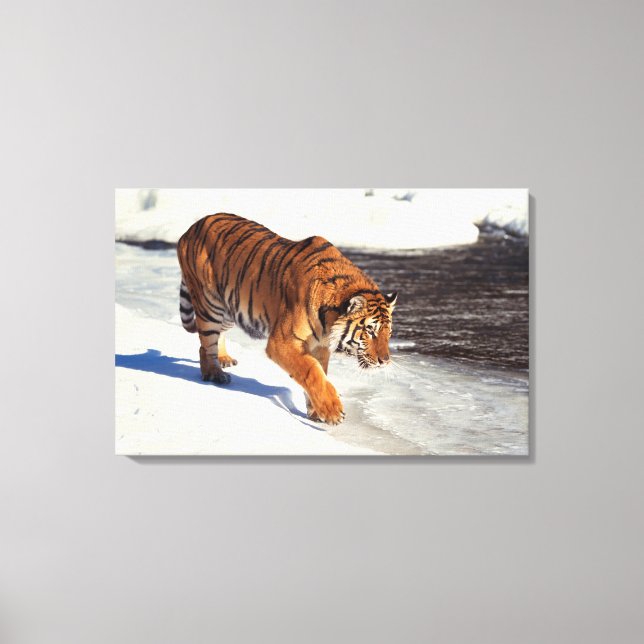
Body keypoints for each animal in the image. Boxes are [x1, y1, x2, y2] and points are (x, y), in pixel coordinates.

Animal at [177, 213, 398, 425]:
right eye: (370, 331)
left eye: (389, 333)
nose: (385, 361)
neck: (328, 323)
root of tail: (190, 229)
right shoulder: (281, 342)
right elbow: (311, 371)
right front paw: (332, 410)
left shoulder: (320, 346)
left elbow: (320, 372)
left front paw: (316, 412)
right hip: (209, 305)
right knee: (205, 344)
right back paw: (214, 373)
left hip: (230, 307)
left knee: (218, 336)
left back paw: (224, 359)